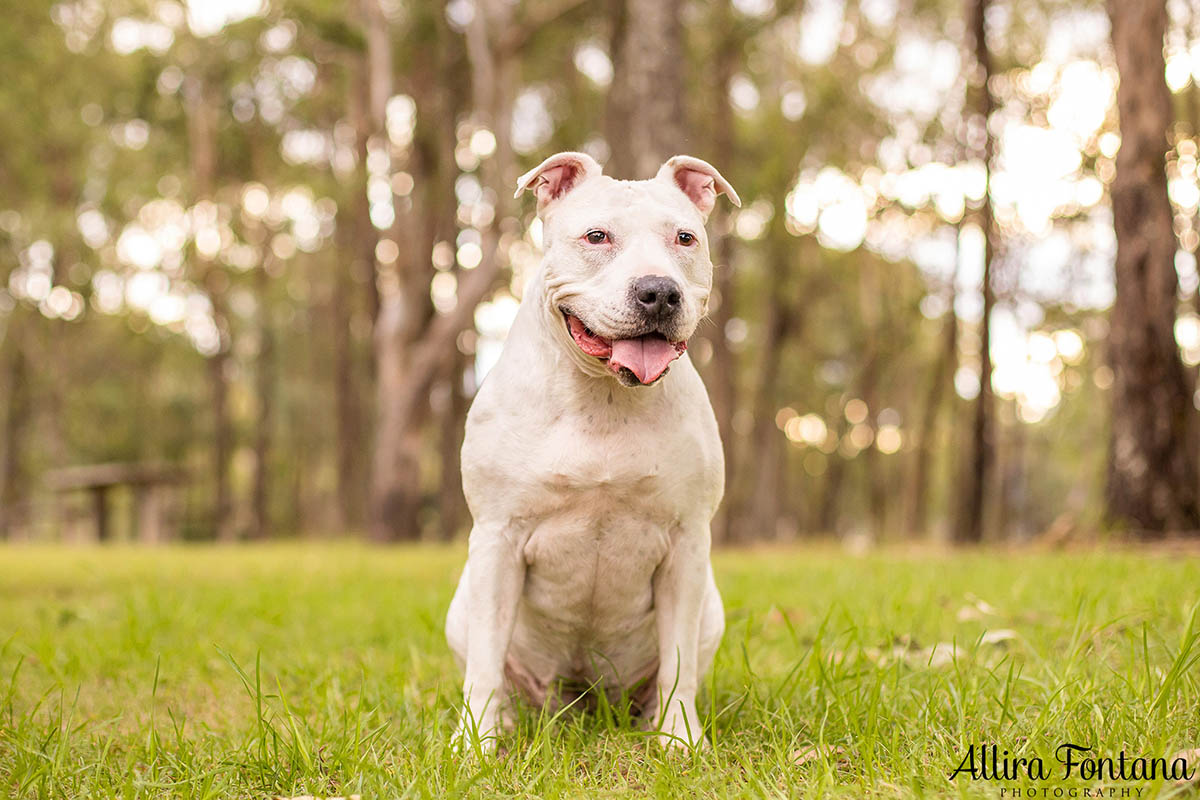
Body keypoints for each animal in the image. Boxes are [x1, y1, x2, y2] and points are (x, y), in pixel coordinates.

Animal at [446, 149, 734, 753]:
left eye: (685, 238)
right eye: (597, 236)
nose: (659, 291)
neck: (604, 396)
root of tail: (585, 699)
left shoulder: (687, 546)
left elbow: (677, 662)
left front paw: (679, 739)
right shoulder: (497, 539)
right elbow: (485, 661)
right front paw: (475, 745)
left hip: (711, 609)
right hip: (463, 605)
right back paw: (506, 721)